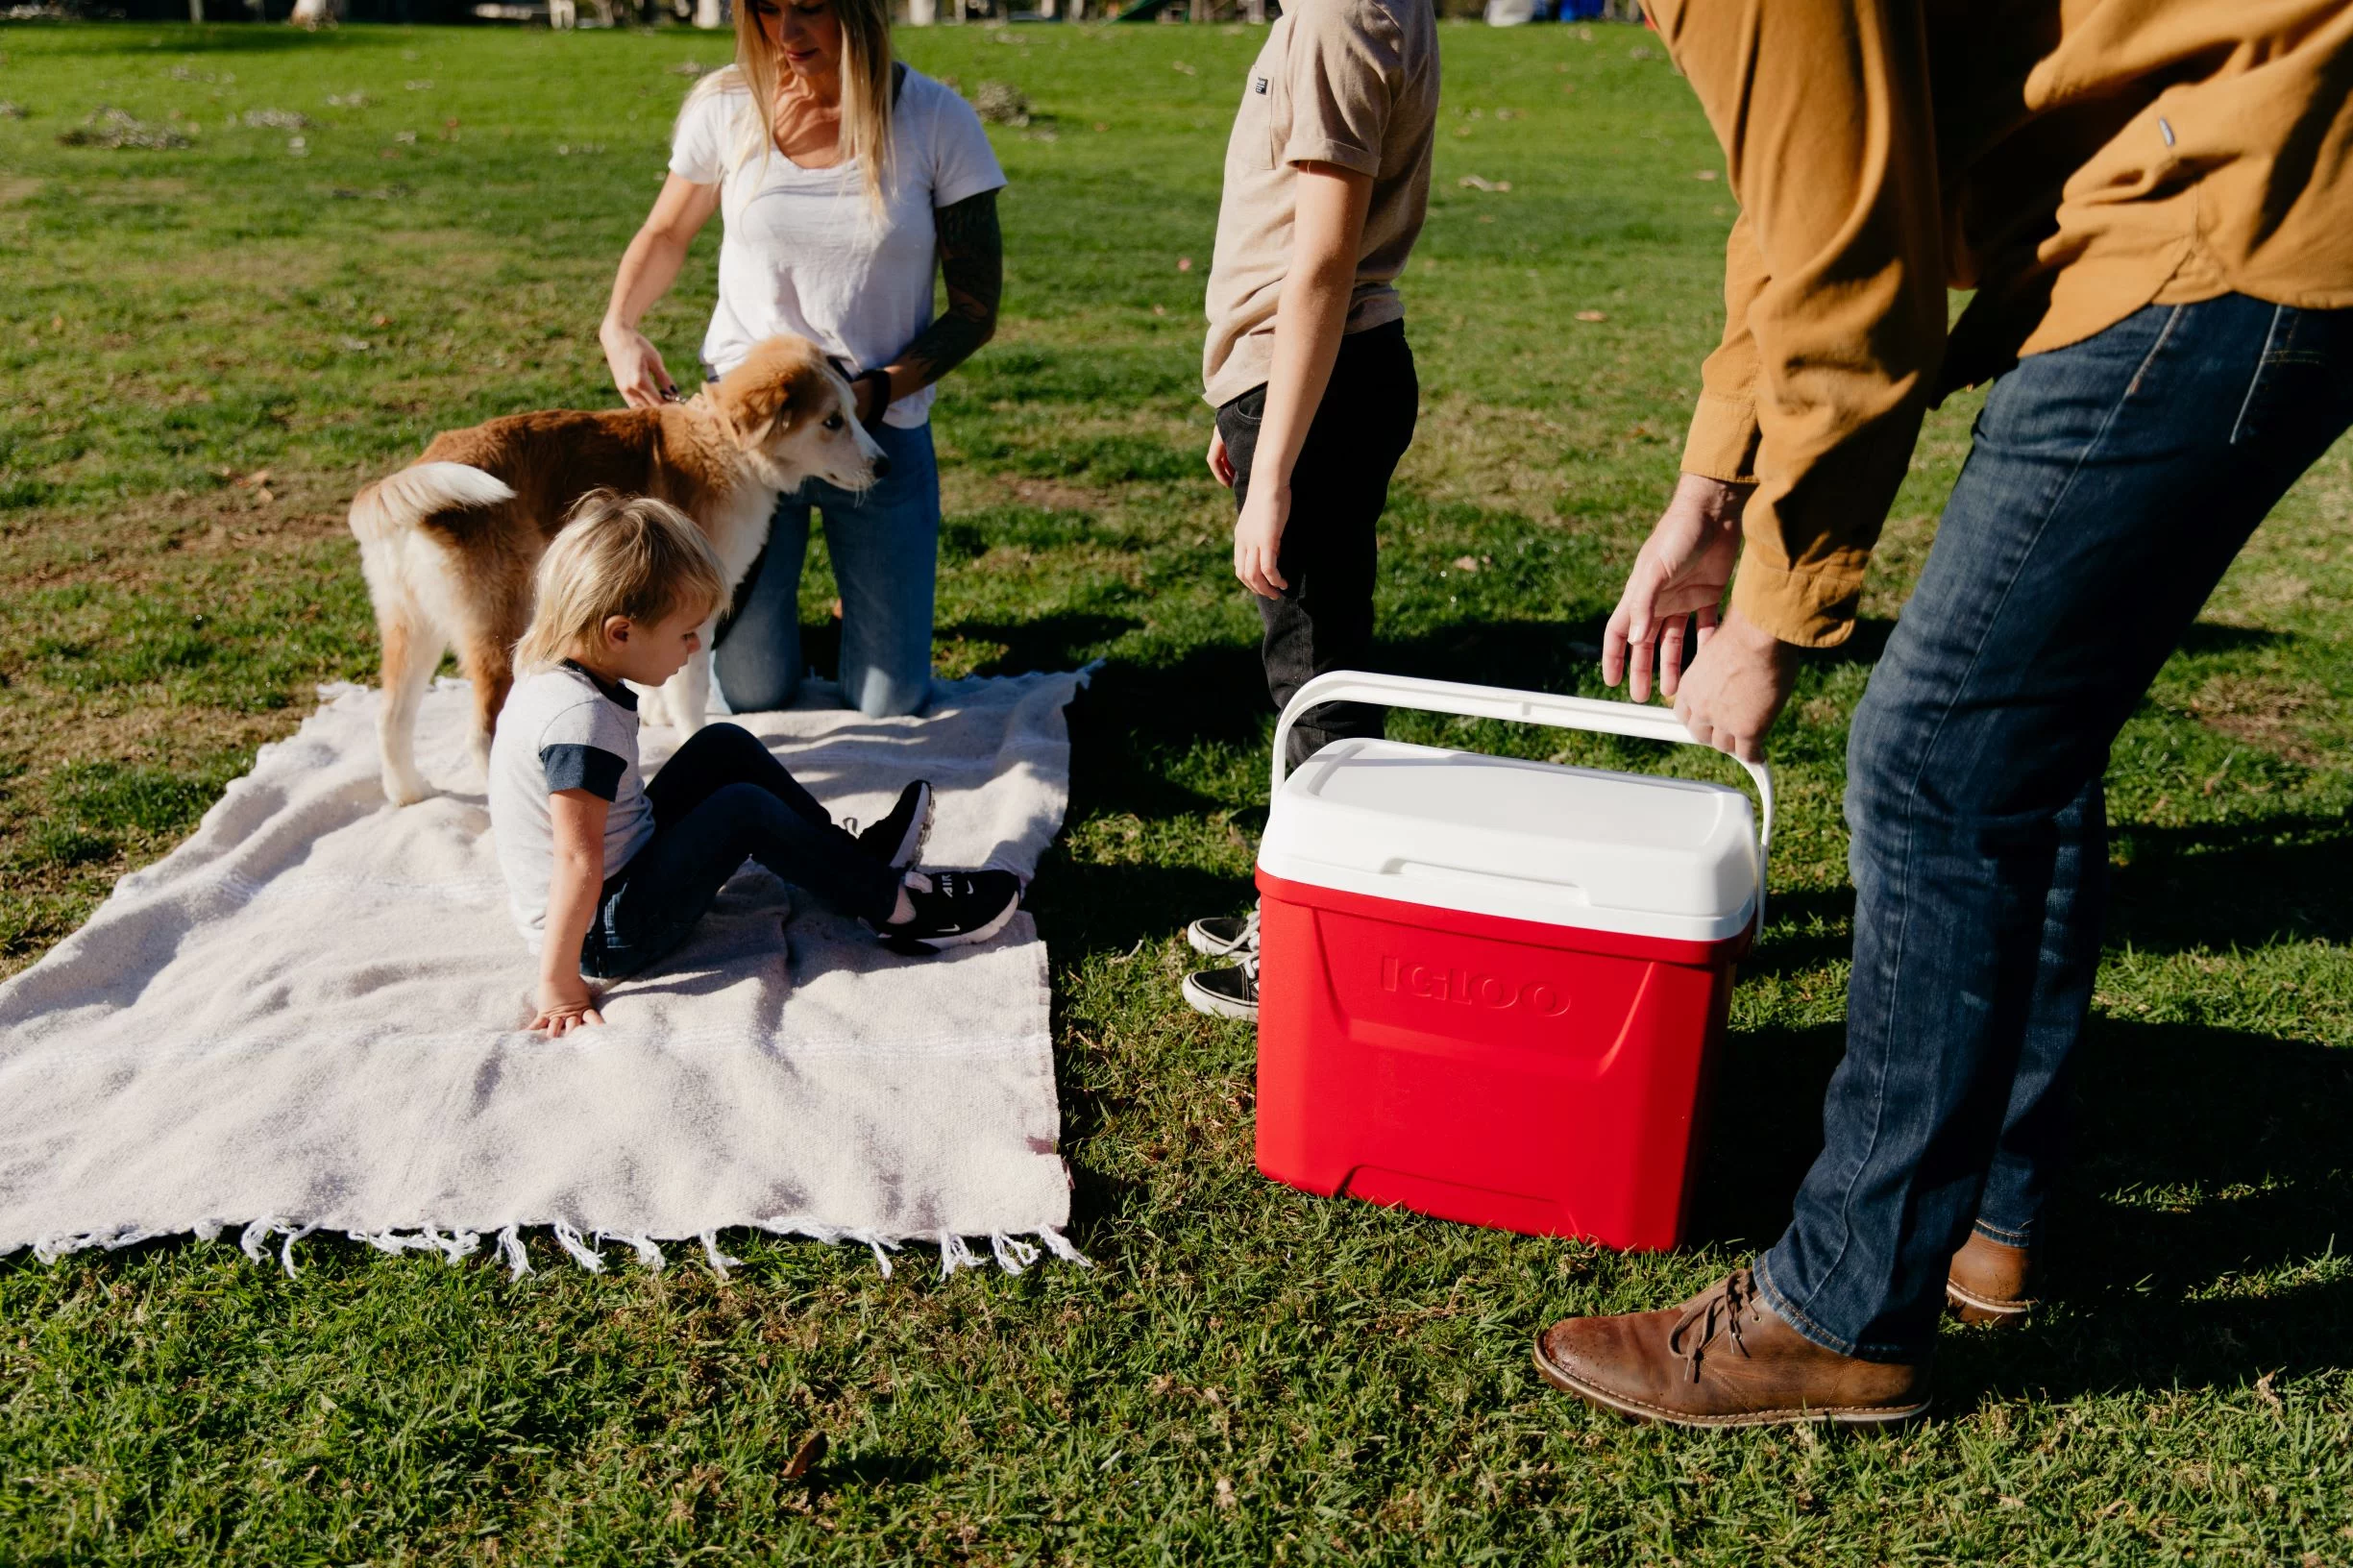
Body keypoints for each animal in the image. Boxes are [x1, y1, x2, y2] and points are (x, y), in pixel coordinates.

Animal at [338, 338, 875, 805]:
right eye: (832, 421)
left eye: (853, 411)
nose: (884, 464)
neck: (723, 442)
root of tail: (421, 471)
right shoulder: (695, 610)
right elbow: (691, 690)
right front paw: (694, 736)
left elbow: (662, 679)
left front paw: (655, 714)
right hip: (499, 623)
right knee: (481, 733)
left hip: (412, 625)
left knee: (392, 717)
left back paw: (409, 794)